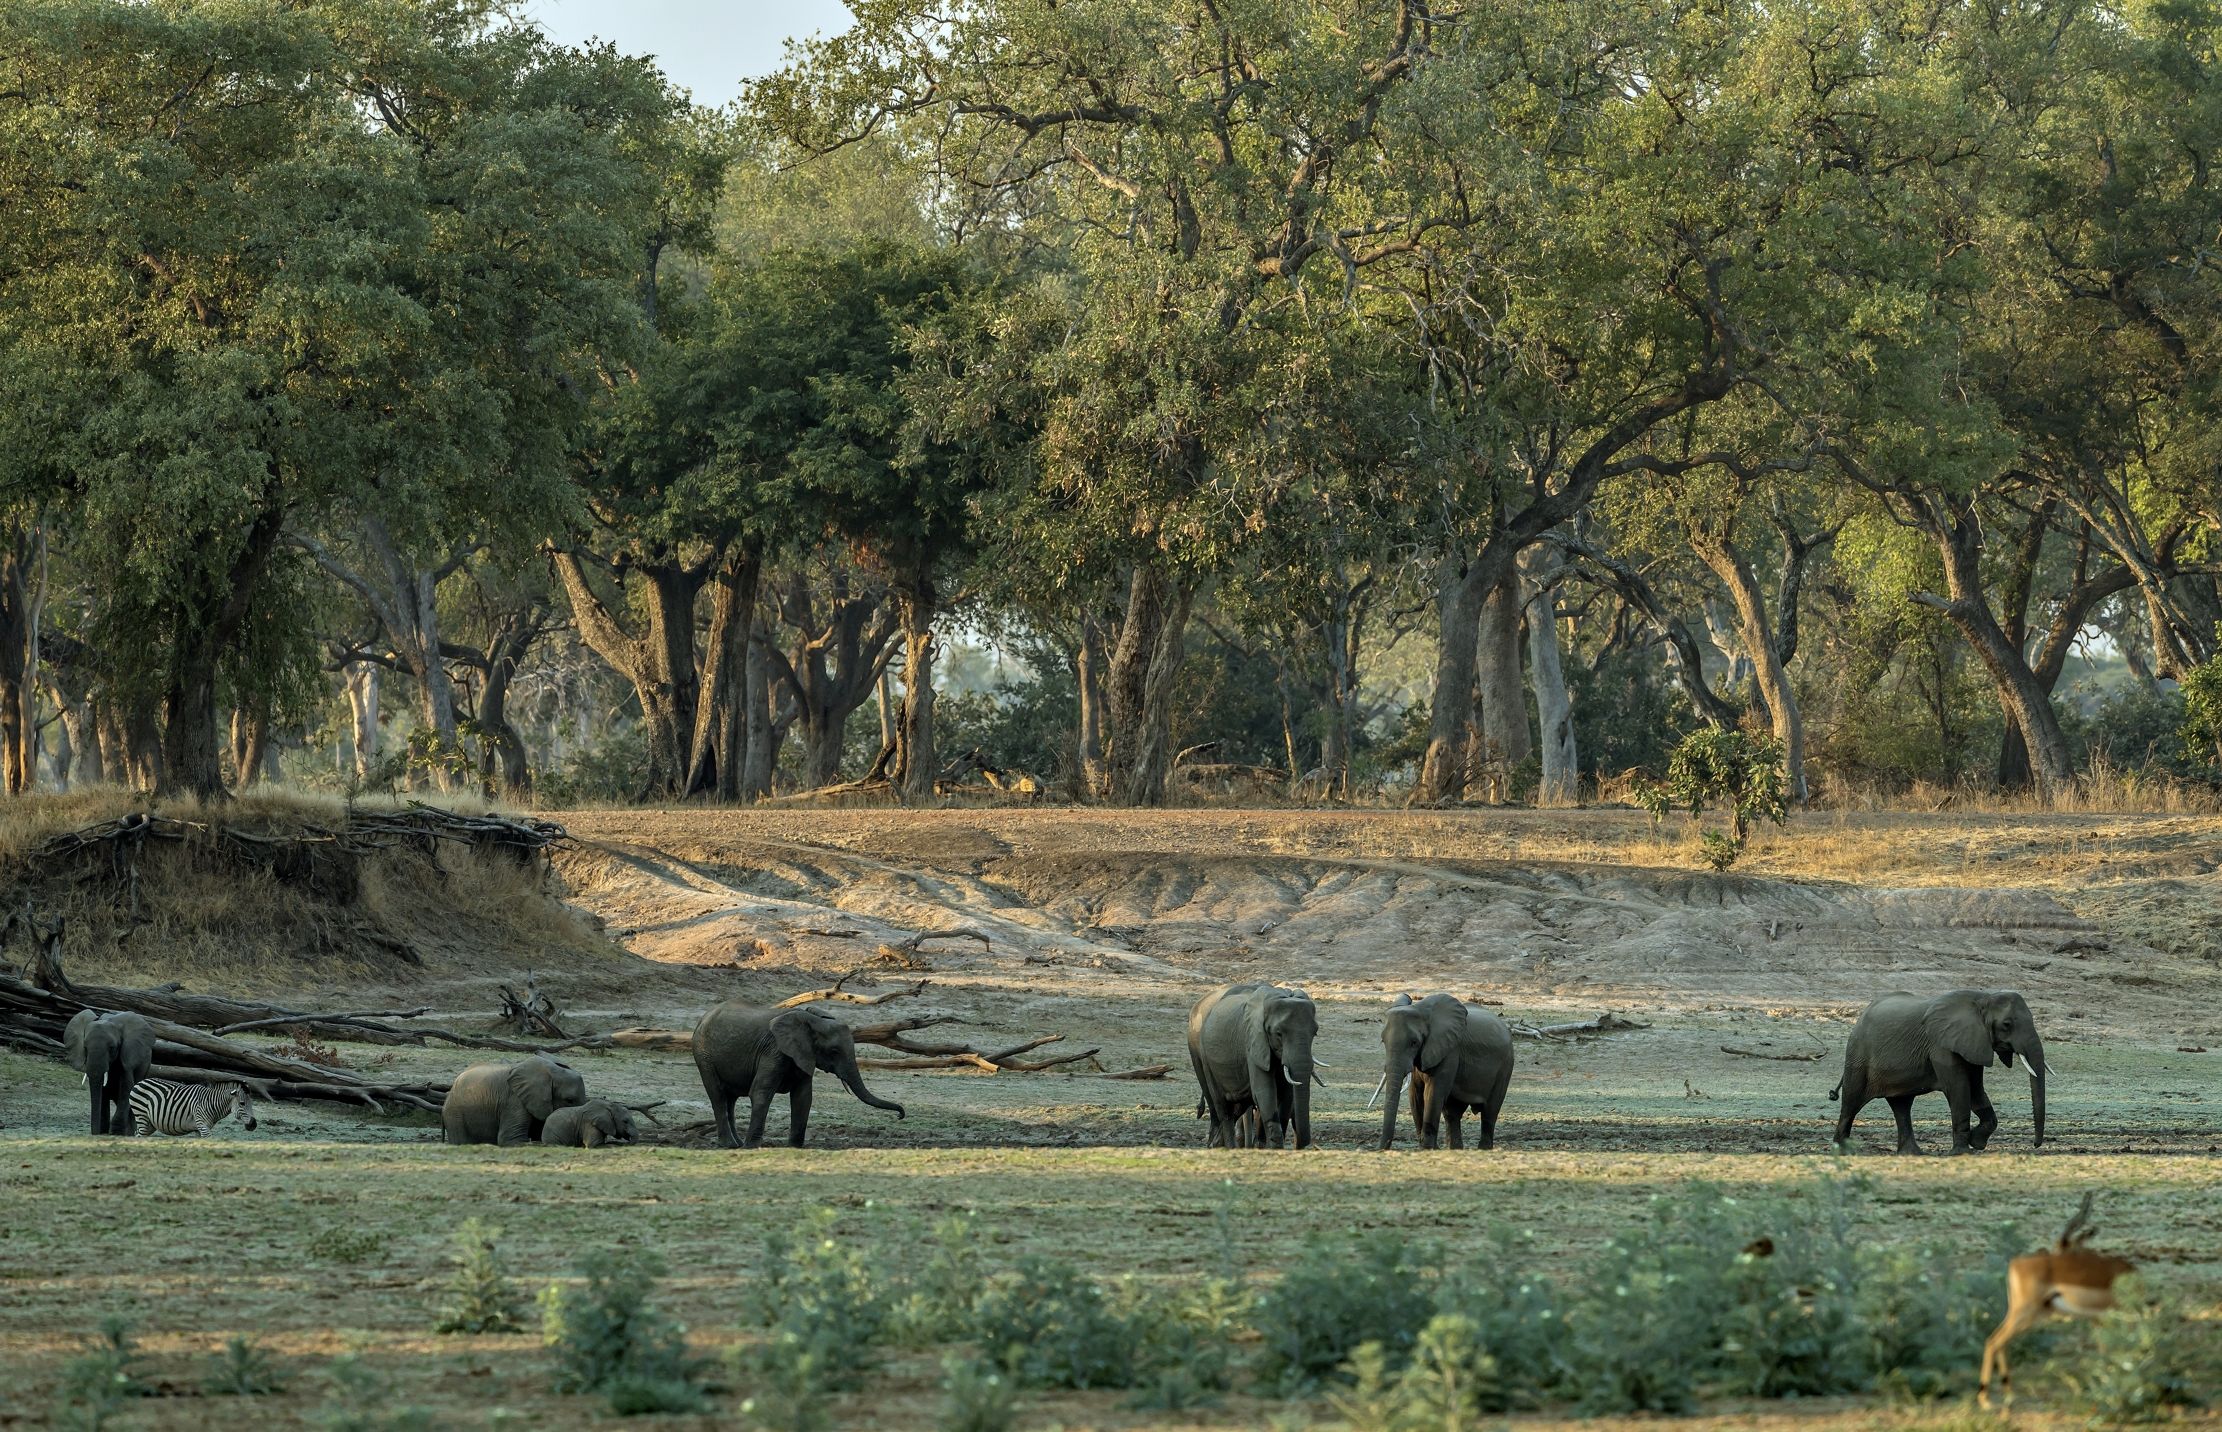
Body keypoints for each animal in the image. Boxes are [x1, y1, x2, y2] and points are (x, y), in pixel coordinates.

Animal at [692, 1001, 906, 1148]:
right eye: (834, 1051)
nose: (900, 1115)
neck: (811, 1020)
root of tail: (702, 1019)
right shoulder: (774, 1050)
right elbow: (760, 1092)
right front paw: (751, 1147)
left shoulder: (804, 1055)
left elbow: (803, 1097)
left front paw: (794, 1147)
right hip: (703, 1055)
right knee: (718, 1096)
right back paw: (730, 1145)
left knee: (731, 1099)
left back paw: (735, 1143)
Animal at [1188, 981, 1320, 1149]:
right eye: (1278, 1034)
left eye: (1315, 1033)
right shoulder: (1253, 1042)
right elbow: (1264, 1092)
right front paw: (1273, 1147)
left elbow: (1286, 1095)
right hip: (1202, 1055)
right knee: (1223, 1110)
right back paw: (1227, 1146)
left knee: (1237, 1107)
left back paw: (1217, 1145)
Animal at [1375, 993, 1514, 1151]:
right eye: (1383, 1041)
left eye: (1414, 1042)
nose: (1381, 1149)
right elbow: (1415, 1094)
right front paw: (1427, 1148)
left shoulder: (1449, 1050)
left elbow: (1433, 1091)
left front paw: (1428, 1148)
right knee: (1452, 1113)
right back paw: (1455, 1148)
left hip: (1506, 1065)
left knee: (1490, 1111)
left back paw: (1483, 1149)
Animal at [1831, 989, 2047, 1154]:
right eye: (2007, 1024)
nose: (2036, 1145)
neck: (1983, 998)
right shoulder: (1941, 1045)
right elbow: (1959, 1088)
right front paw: (1962, 1153)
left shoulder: (1974, 1043)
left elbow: (1976, 1089)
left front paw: (1976, 1142)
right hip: (1858, 1055)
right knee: (1851, 1101)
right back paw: (1842, 1150)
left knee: (1901, 1105)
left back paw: (1912, 1154)